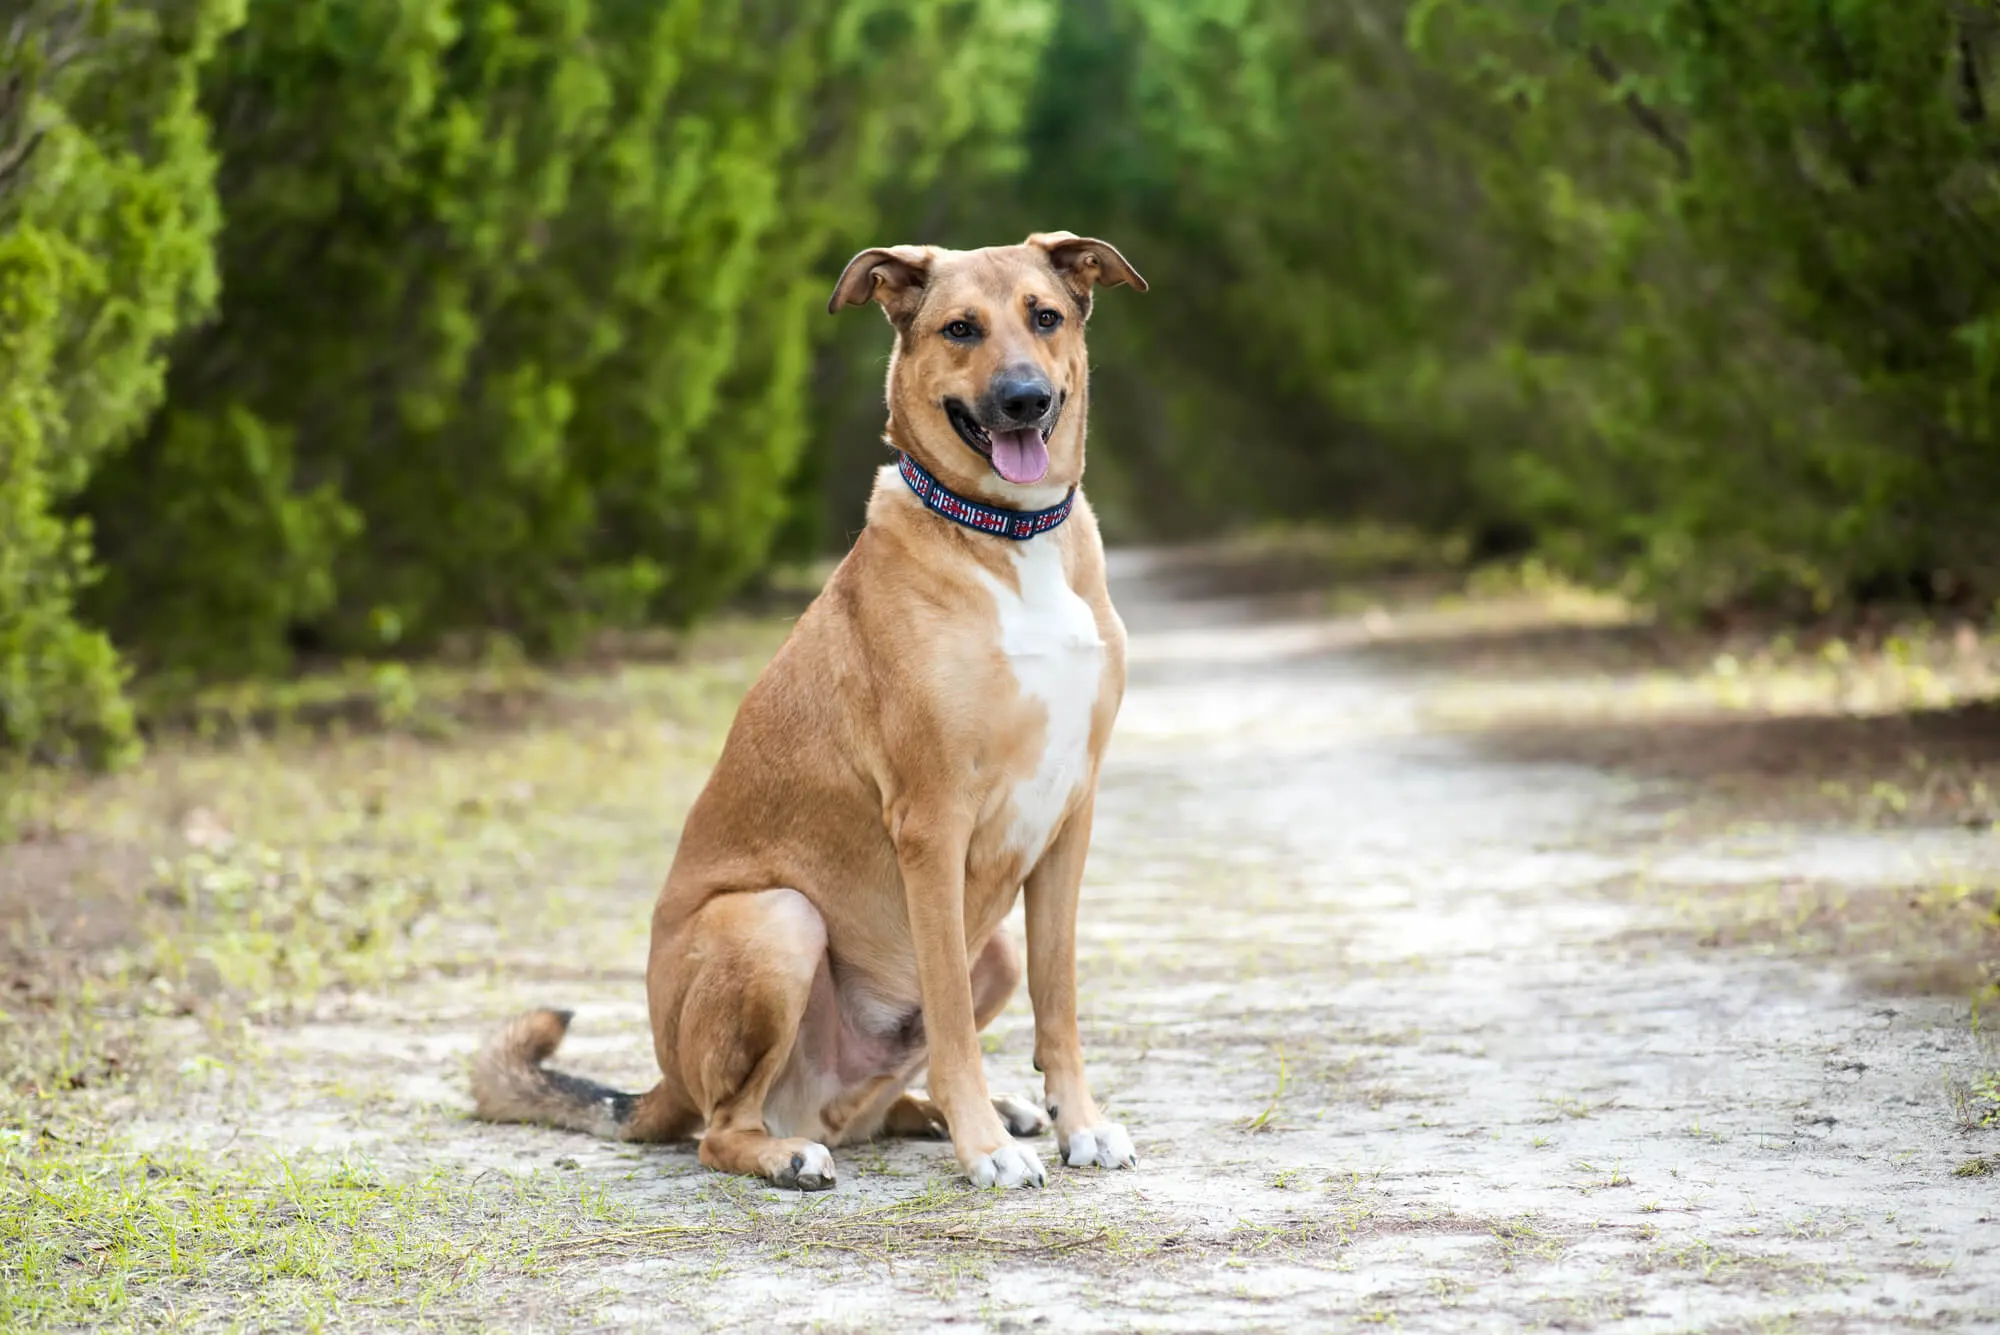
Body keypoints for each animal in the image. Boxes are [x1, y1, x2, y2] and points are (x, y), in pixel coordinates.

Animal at [468, 229, 1152, 1191]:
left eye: (1045, 316)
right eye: (961, 328)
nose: (1024, 399)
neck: (1009, 540)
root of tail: (664, 1078)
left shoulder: (1069, 818)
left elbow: (1061, 1005)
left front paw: (1075, 1122)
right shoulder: (931, 824)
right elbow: (948, 1017)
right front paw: (987, 1148)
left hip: (990, 952)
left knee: (869, 1109)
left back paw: (969, 1111)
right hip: (779, 923)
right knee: (722, 1128)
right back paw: (797, 1151)